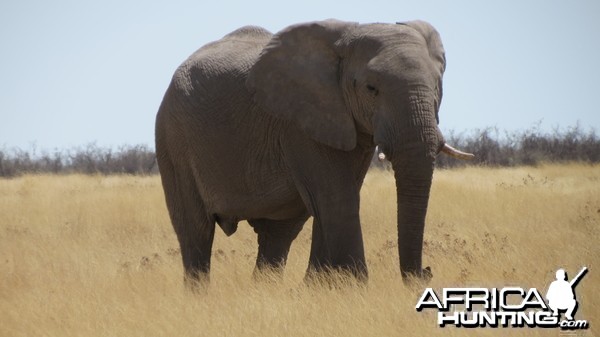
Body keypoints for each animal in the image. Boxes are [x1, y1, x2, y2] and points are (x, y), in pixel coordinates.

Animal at [156, 18, 474, 286]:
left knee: (278, 235)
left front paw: (321, 287)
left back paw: (265, 290)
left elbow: (336, 196)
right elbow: (337, 196)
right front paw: (349, 287)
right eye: (371, 88)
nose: (426, 272)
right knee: (196, 230)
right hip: (172, 138)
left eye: (438, 86)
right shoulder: (300, 123)